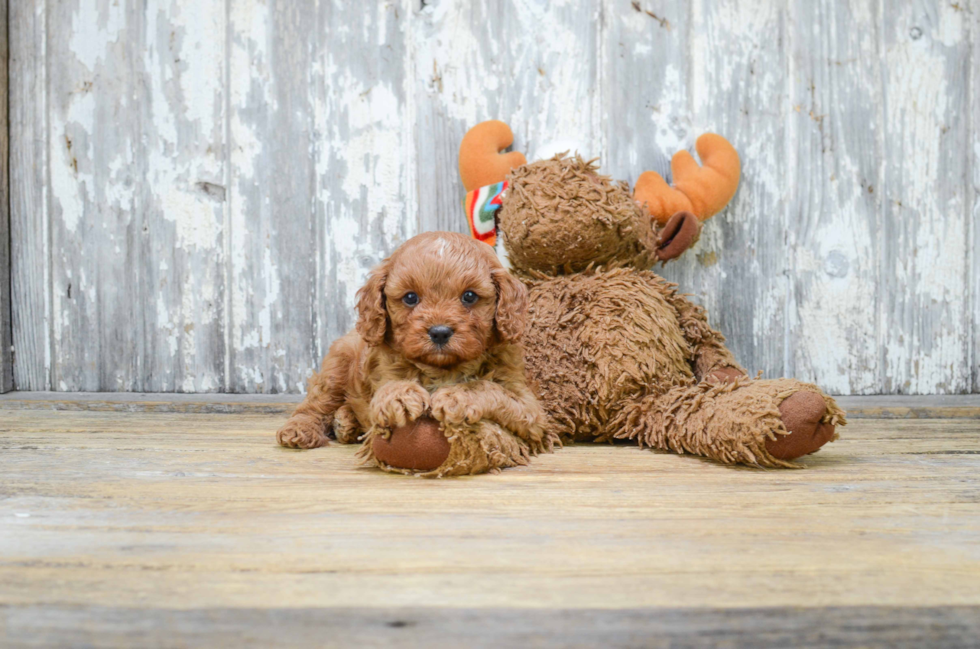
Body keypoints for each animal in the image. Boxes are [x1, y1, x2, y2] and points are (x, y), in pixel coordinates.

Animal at [276, 230, 552, 474]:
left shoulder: (530, 411)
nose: (439, 332)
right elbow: (389, 388)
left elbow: (490, 388)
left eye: (469, 296)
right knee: (315, 404)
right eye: (410, 298)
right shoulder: (384, 371)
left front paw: (456, 396)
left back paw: (346, 423)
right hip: (336, 367)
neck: (444, 368)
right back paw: (300, 430)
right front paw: (400, 396)